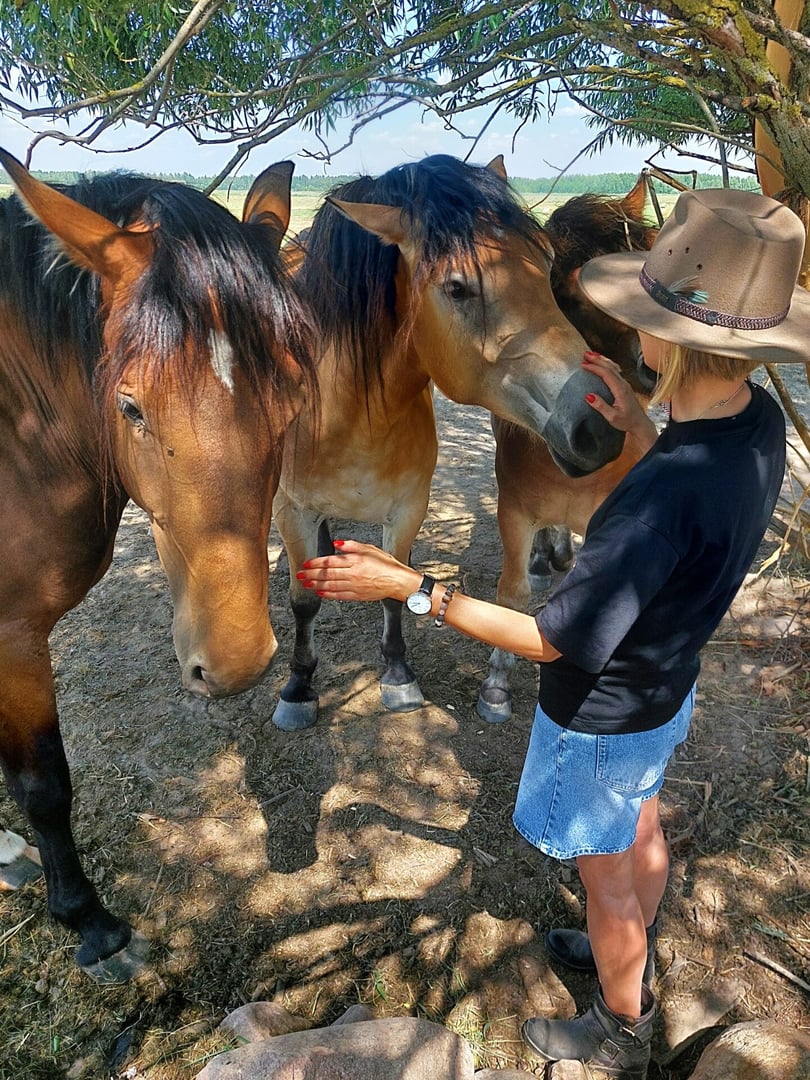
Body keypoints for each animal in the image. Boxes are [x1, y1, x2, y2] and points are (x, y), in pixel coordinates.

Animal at [0, 151, 317, 978]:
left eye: (292, 400)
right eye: (130, 407)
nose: (237, 663)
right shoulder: (13, 636)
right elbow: (44, 784)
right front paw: (89, 921)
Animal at [271, 154, 629, 731]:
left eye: (547, 263)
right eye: (458, 288)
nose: (598, 425)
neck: (347, 420)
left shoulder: (407, 509)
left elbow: (394, 592)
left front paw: (398, 676)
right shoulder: (292, 510)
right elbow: (304, 600)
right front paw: (299, 686)